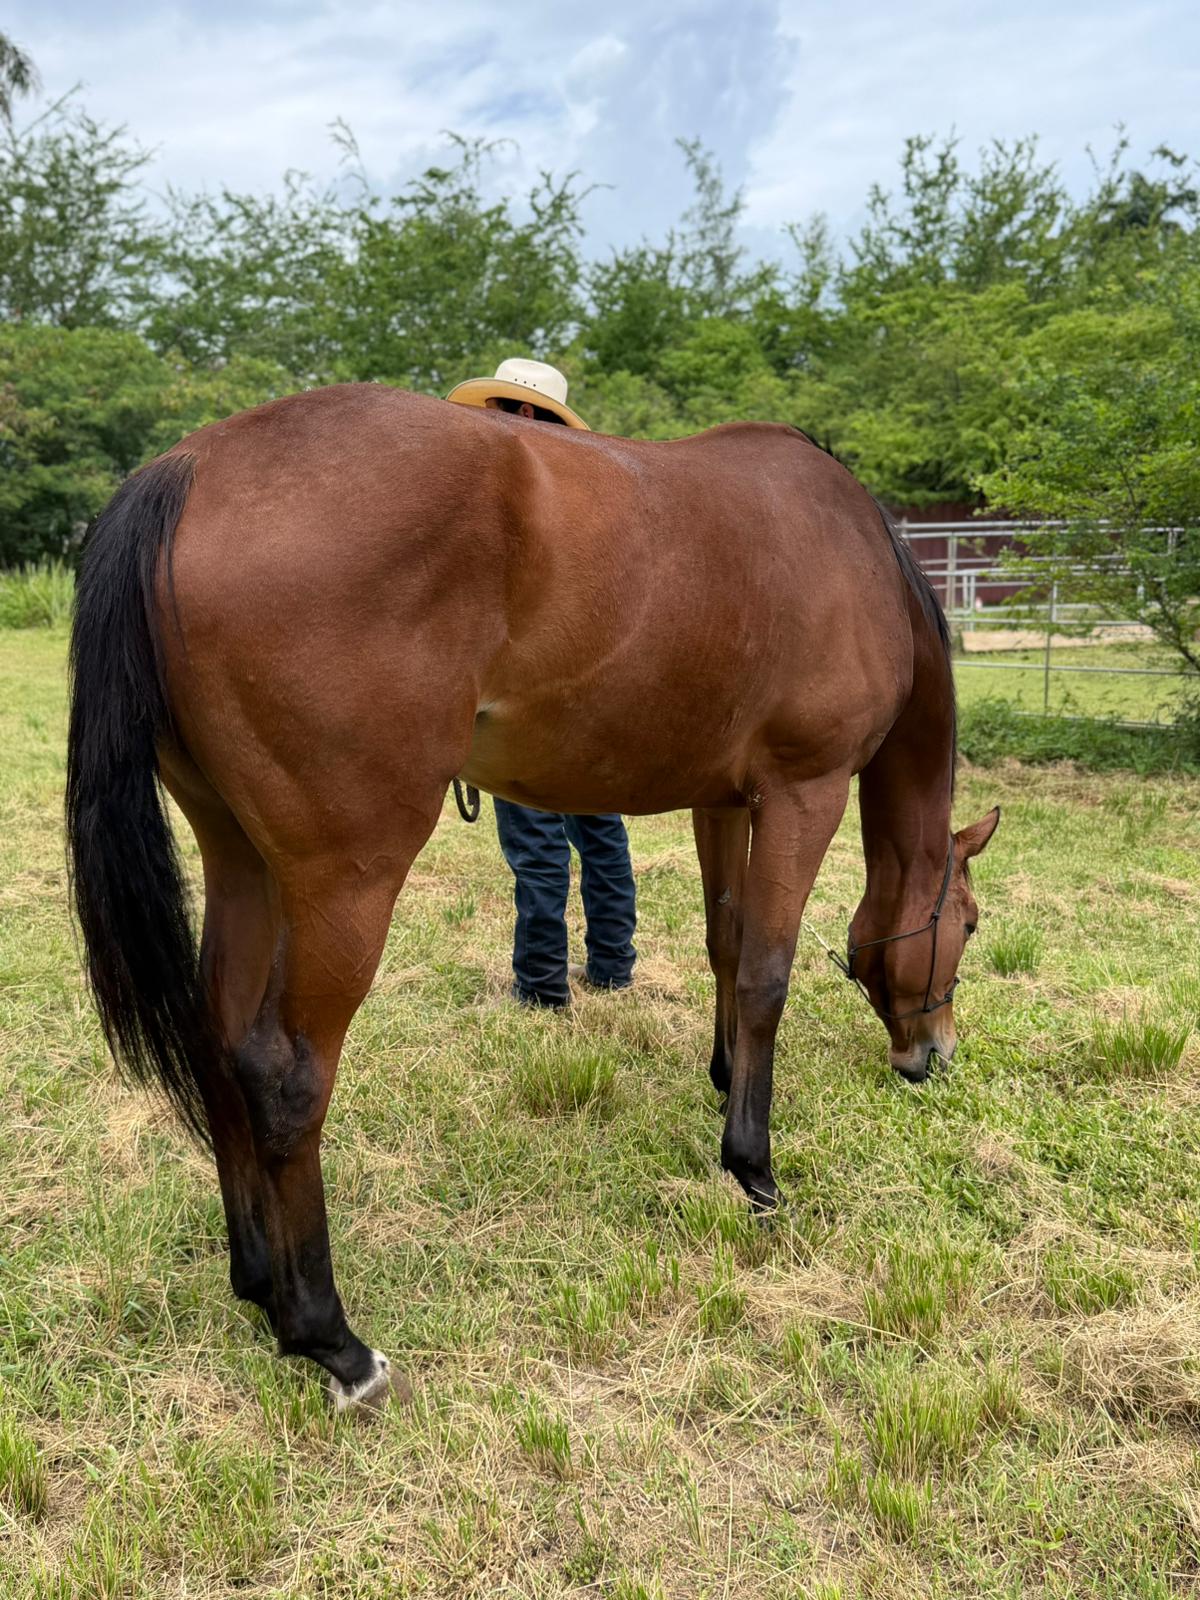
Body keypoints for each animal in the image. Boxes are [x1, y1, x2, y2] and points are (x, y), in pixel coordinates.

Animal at [65, 382, 998, 1411]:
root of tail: (190, 468)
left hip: (241, 860)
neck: (854, 549)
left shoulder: (725, 798)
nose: (933, 1054)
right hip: (344, 879)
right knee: (285, 1074)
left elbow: (725, 942)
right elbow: (766, 971)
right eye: (968, 924)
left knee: (220, 1040)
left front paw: (724, 1078)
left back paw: (258, 1281)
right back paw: (331, 1340)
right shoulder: (804, 791)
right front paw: (752, 1169)